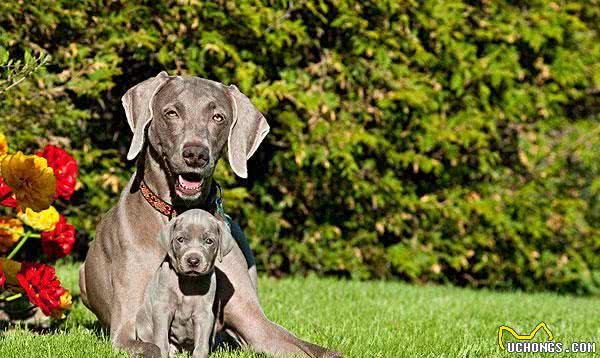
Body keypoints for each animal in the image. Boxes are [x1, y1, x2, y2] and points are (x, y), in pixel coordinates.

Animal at [136, 208, 232, 356]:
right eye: (180, 239)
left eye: (209, 241)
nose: (193, 261)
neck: (189, 281)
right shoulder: (162, 309)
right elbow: (162, 341)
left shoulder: (204, 314)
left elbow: (201, 345)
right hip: (142, 319)